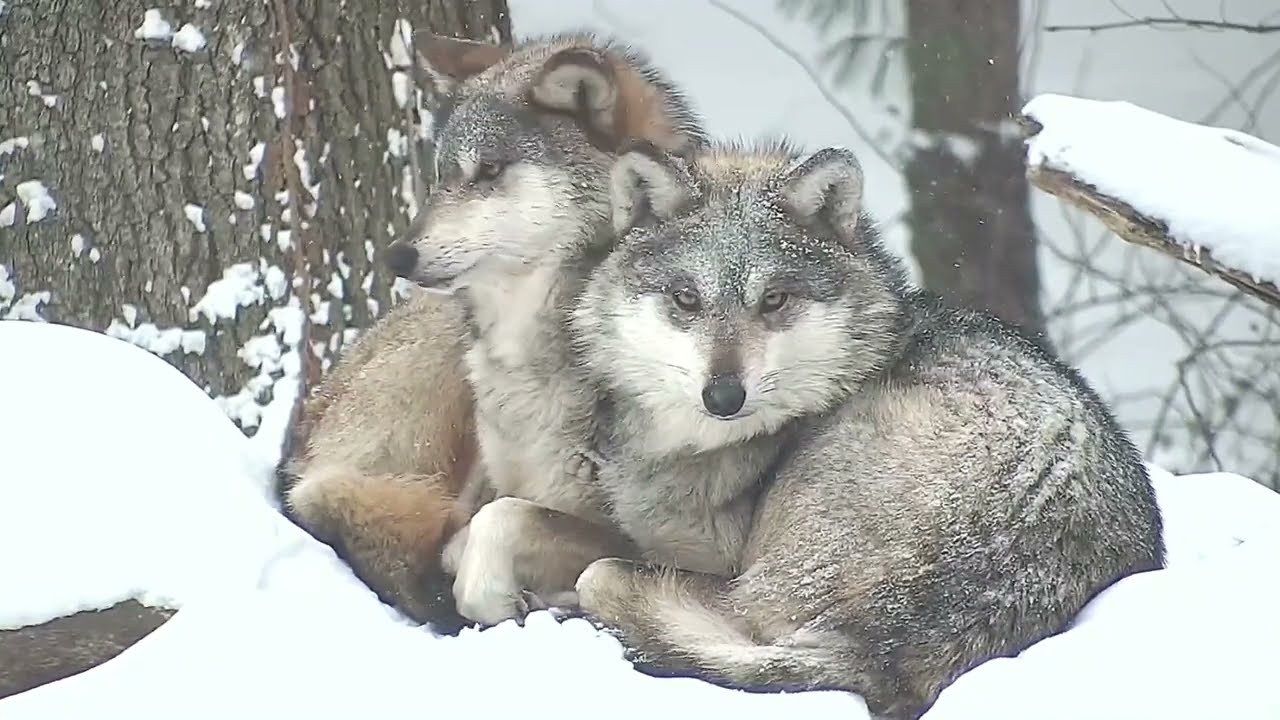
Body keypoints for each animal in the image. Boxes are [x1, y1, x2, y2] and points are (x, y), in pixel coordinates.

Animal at [279, 30, 703, 630]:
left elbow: (499, 523)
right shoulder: (497, 489)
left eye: (490, 171)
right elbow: (480, 528)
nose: (397, 255)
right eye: (443, 175)